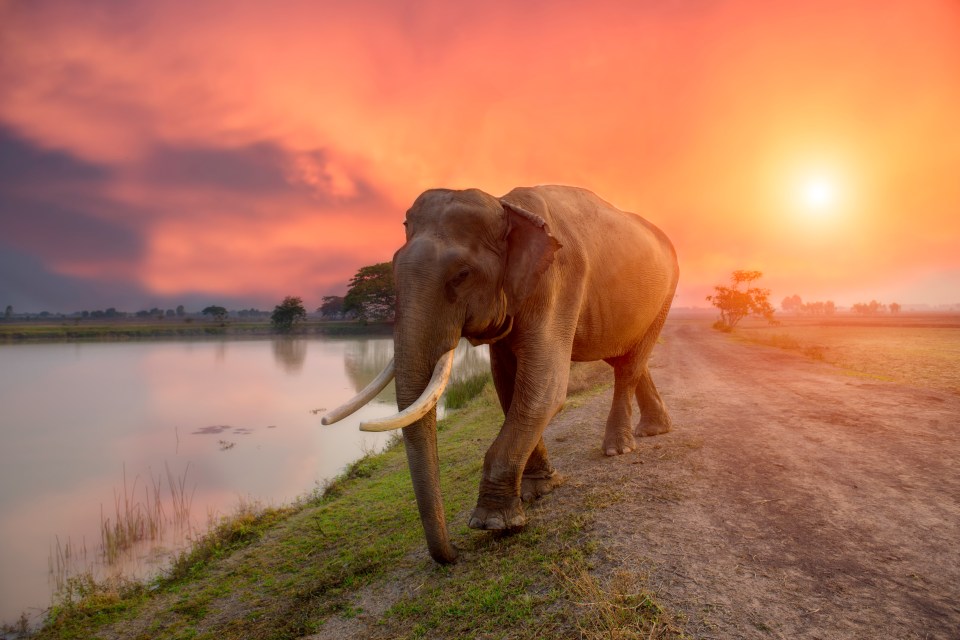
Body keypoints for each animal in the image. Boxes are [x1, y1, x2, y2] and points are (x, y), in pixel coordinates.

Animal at [326, 184, 680, 560]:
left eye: (461, 275)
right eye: (392, 268)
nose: (454, 554)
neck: (506, 206)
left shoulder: (558, 282)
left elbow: (545, 390)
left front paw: (493, 523)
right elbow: (508, 384)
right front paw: (539, 490)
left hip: (667, 292)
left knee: (629, 364)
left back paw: (619, 449)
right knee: (626, 357)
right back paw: (654, 430)